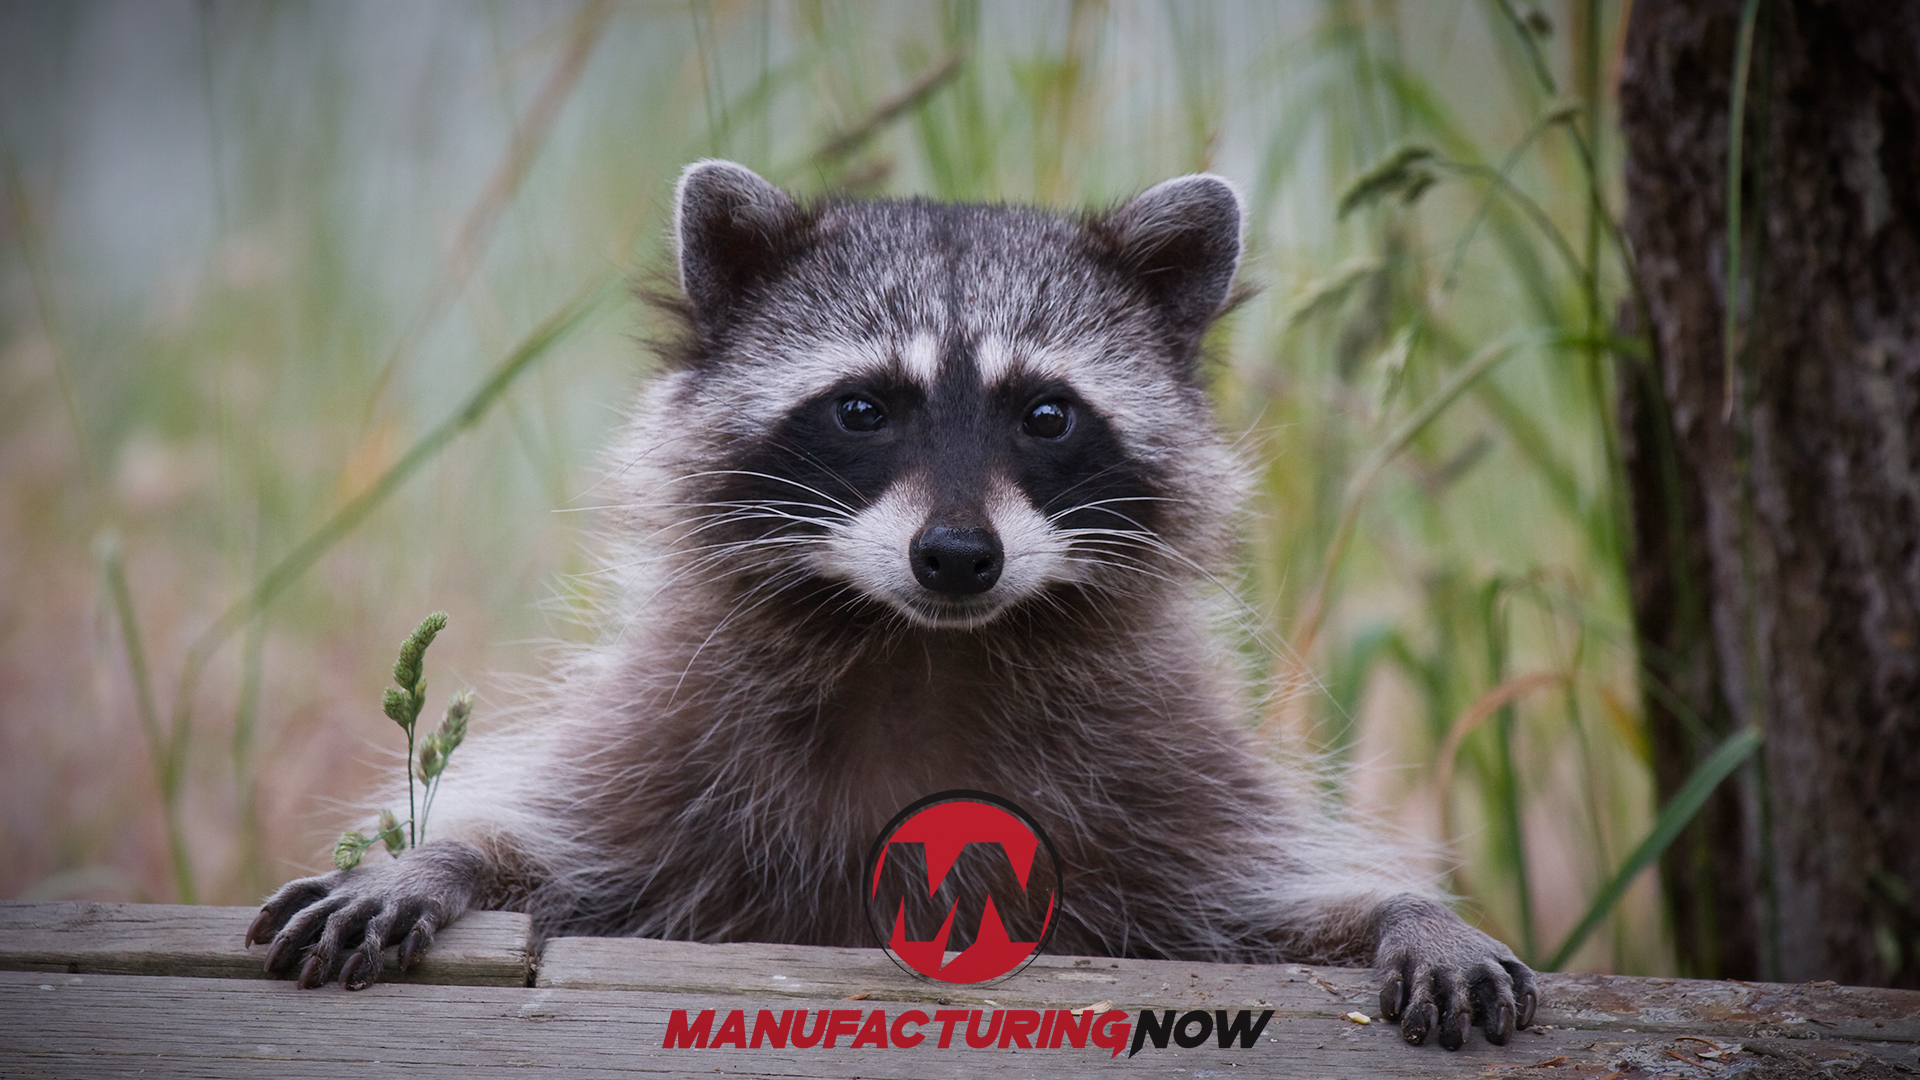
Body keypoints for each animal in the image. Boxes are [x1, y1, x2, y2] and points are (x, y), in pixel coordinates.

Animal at [247, 161, 1537, 1050]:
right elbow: (562, 843)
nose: (958, 557)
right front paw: (438, 858)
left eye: (1046, 415)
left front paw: (1407, 911)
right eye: (863, 408)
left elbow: (1264, 902)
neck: (923, 650)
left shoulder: (1160, 780)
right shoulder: (676, 745)